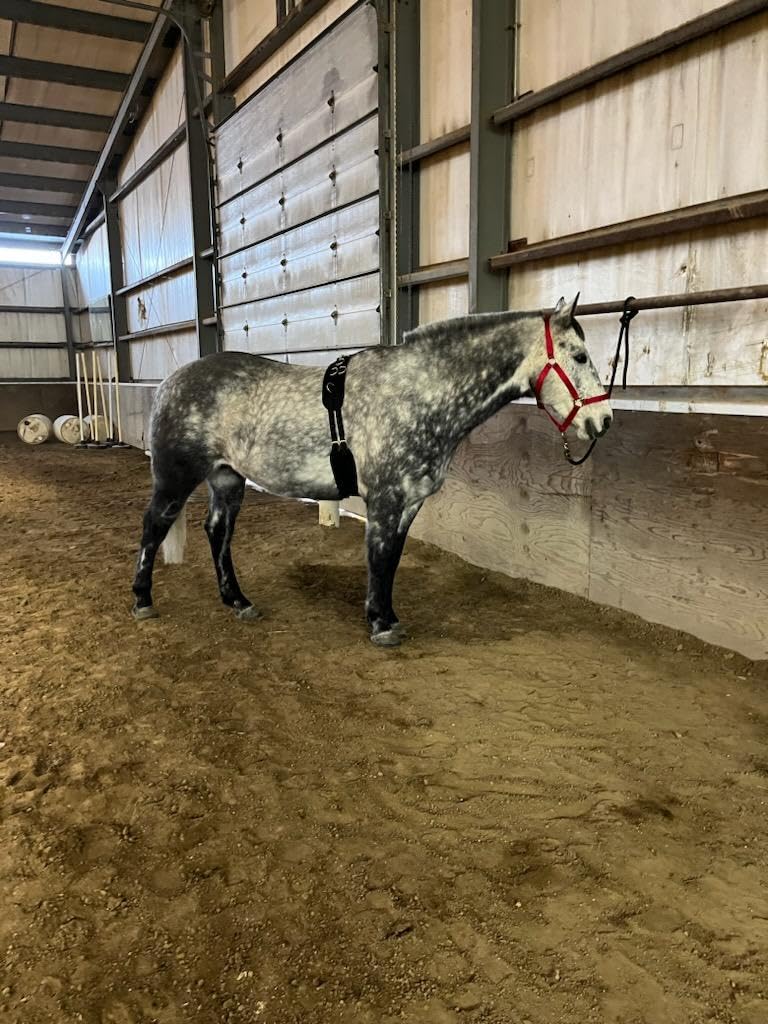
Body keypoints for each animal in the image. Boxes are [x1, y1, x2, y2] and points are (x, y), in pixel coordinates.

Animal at [131, 295, 612, 646]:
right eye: (579, 355)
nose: (603, 419)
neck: (419, 391)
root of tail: (170, 382)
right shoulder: (385, 499)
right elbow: (378, 557)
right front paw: (380, 626)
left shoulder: (408, 502)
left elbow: (392, 559)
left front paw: (388, 616)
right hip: (176, 478)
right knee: (154, 527)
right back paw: (142, 600)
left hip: (227, 478)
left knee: (218, 532)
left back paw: (237, 601)